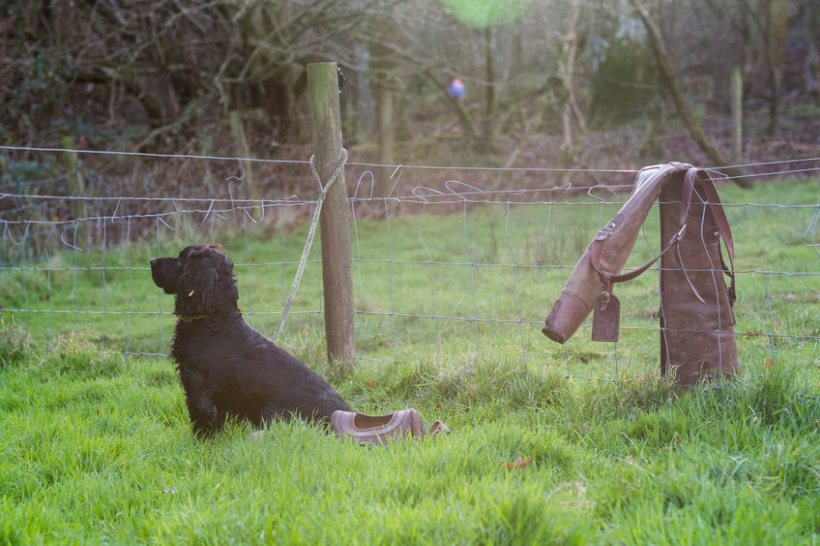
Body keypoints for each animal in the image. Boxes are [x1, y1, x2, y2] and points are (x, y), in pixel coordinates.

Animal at [151, 244, 350, 436]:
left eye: (181, 259)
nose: (152, 261)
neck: (214, 320)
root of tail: (346, 415)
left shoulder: (199, 390)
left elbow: (202, 421)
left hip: (273, 412)